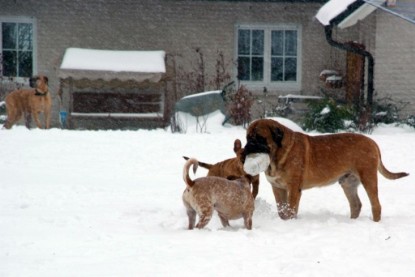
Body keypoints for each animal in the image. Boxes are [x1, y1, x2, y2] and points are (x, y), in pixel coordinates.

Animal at [242, 117, 408, 221]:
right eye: (247, 137)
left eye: (259, 138)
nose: (246, 148)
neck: (277, 155)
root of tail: (373, 142)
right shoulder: (277, 188)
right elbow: (281, 209)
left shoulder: (293, 188)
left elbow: (290, 209)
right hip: (348, 183)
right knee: (356, 204)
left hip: (368, 178)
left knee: (376, 205)